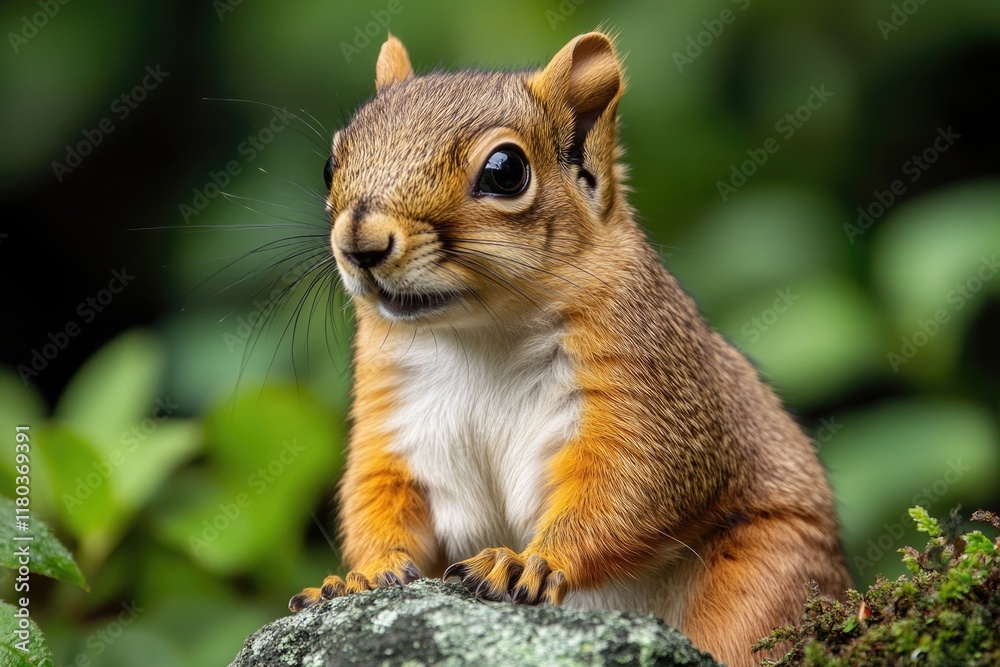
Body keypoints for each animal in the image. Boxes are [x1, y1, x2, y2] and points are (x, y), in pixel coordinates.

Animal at [287, 31, 852, 667]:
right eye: (331, 163)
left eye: (506, 171)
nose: (360, 243)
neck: (480, 335)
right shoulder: (393, 418)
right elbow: (378, 498)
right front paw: (359, 575)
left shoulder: (648, 387)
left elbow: (630, 485)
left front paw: (527, 563)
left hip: (767, 578)